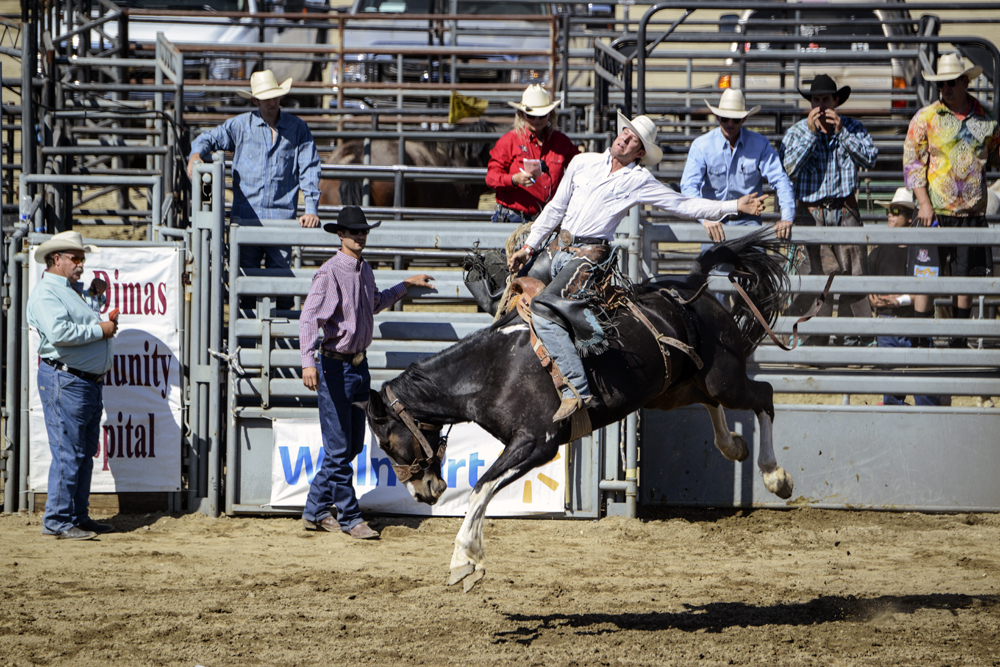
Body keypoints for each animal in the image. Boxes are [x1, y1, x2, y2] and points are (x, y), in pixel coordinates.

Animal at [364, 228, 792, 588]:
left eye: (386, 443)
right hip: (675, 389)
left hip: (724, 376)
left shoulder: (538, 443)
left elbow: (481, 487)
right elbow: (482, 488)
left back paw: (776, 476)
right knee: (712, 402)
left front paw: (463, 561)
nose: (423, 491)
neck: (492, 369)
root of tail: (688, 288)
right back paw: (733, 445)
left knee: (764, 395)